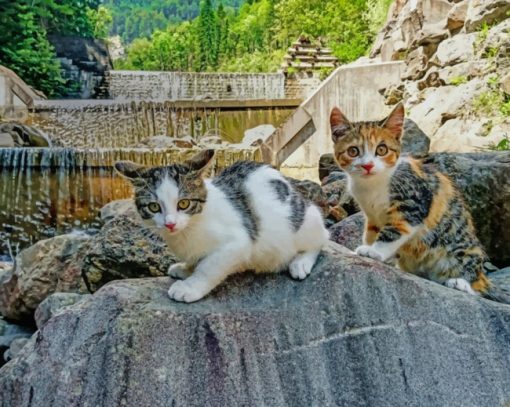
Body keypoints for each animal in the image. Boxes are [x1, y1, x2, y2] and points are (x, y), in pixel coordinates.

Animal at [115, 150, 328, 302]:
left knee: (322, 238)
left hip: (306, 221)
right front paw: (186, 268)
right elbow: (198, 260)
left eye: (183, 203)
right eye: (153, 206)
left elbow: (209, 266)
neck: (189, 229)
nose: (170, 224)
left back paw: (301, 262)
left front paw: (190, 287)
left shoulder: (239, 242)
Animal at [328, 102, 508, 302]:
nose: (367, 165)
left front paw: (374, 251)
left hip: (462, 250)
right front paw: (366, 248)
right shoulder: (372, 216)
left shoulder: (413, 204)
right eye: (353, 151)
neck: (373, 185)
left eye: (381, 149)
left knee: (475, 284)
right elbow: (371, 233)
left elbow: (393, 232)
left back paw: (460, 283)